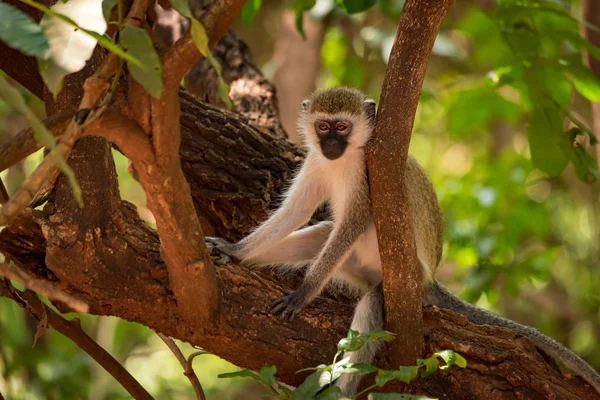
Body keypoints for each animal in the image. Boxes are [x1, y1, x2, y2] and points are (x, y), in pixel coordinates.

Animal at [206, 86, 600, 396]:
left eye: (342, 127)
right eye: (323, 126)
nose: (330, 143)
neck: (343, 160)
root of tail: (429, 281)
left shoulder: (366, 173)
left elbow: (352, 224)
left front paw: (303, 293)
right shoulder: (317, 163)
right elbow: (296, 213)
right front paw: (234, 249)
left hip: (401, 283)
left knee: (370, 302)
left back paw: (343, 389)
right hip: (355, 268)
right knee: (320, 234)